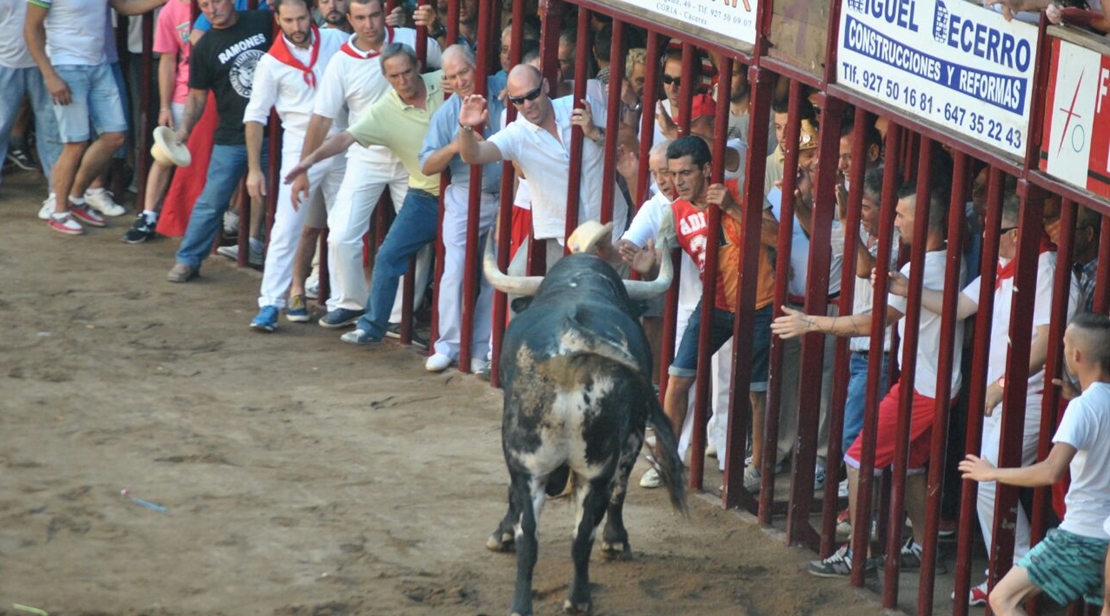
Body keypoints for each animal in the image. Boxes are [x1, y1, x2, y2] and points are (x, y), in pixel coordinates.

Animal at [483, 243, 683, 612]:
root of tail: (573, 339)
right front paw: (617, 542)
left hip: (553, 461)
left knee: (546, 532)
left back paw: (560, 601)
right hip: (587, 464)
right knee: (564, 533)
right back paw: (563, 601)